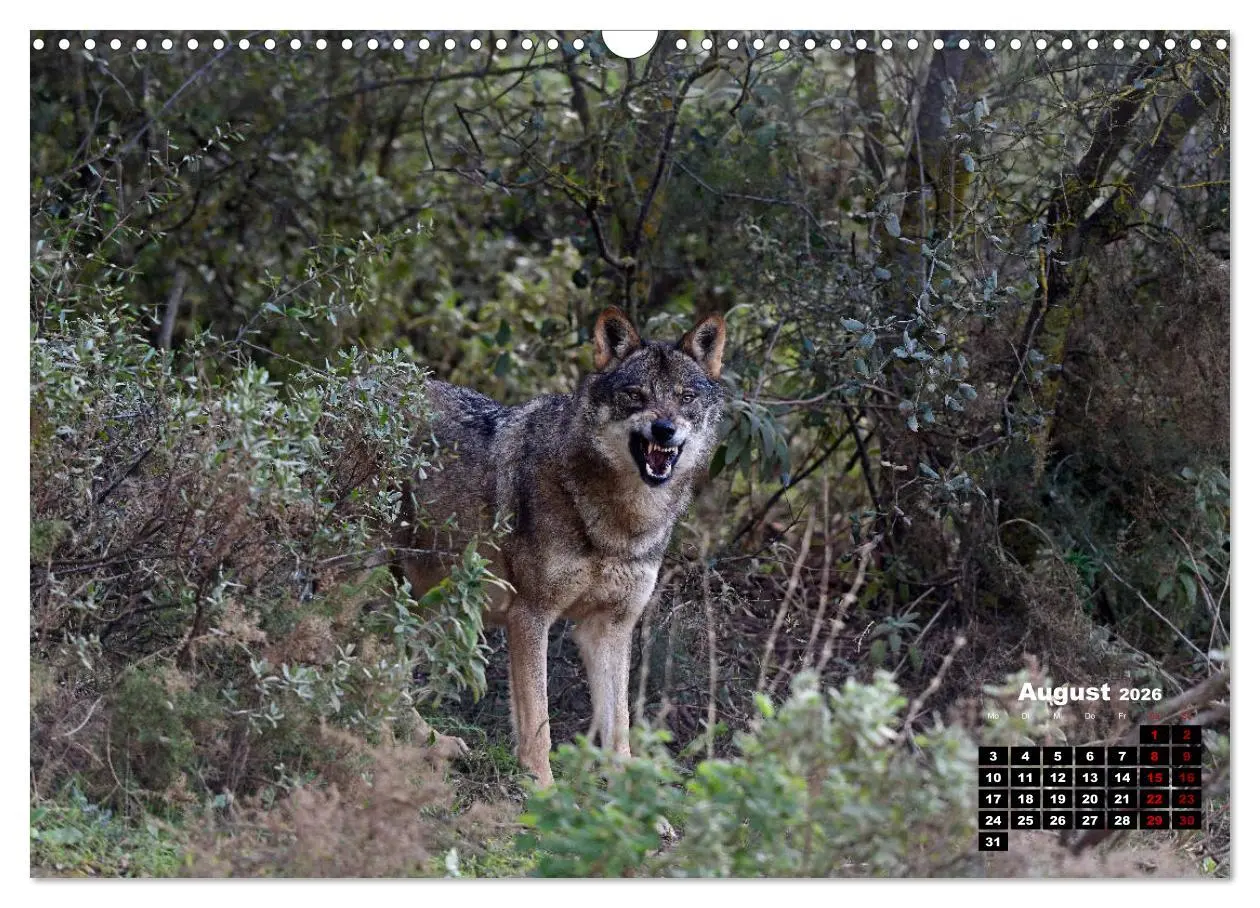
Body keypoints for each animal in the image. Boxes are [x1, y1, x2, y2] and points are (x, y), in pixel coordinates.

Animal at [395, 307, 726, 785]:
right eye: (635, 395)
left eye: (686, 397)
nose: (665, 429)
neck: (618, 525)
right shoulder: (529, 616)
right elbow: (539, 724)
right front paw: (542, 789)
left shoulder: (608, 628)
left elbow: (619, 729)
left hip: (433, 605)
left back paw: (434, 744)